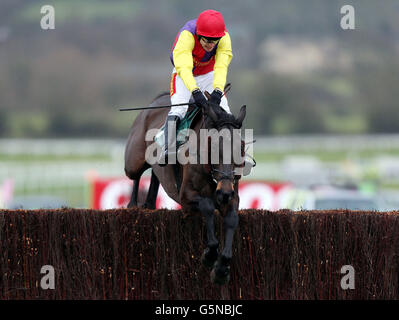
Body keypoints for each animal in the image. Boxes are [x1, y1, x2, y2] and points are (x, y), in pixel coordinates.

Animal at [126, 91, 247, 284]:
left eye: (241, 147)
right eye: (213, 145)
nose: (225, 192)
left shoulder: (232, 196)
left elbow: (232, 219)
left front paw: (221, 269)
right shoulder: (186, 196)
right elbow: (207, 206)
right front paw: (209, 255)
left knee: (154, 176)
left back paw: (149, 204)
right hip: (134, 160)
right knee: (136, 176)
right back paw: (132, 205)